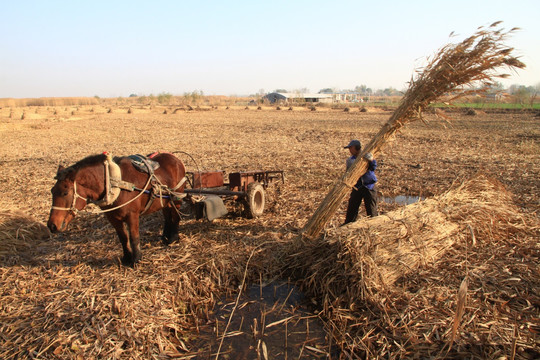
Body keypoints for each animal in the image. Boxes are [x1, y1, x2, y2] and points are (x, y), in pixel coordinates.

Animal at [48, 150, 188, 266]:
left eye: (65, 193)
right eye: (52, 191)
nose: (52, 225)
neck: (114, 183)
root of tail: (175, 159)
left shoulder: (132, 216)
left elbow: (134, 237)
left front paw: (136, 260)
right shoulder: (113, 218)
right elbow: (123, 238)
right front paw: (126, 258)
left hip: (177, 198)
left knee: (176, 216)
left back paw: (173, 238)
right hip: (165, 201)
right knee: (168, 217)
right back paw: (165, 237)